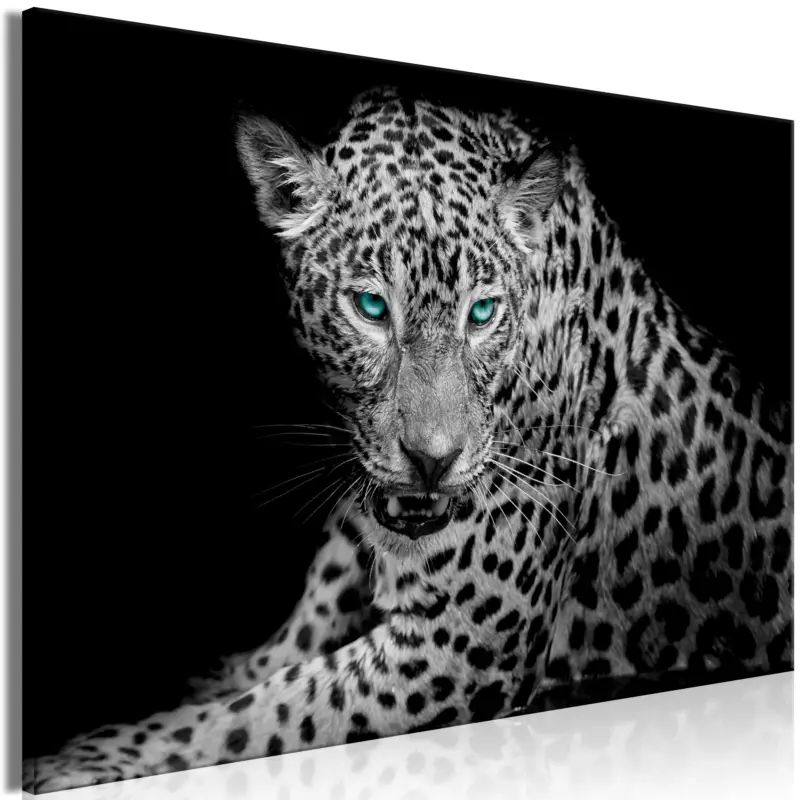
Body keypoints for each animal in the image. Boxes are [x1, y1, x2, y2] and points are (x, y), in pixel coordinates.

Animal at [23, 86, 793, 794]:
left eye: (482, 314)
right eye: (370, 307)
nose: (432, 460)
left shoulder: (460, 646)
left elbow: (258, 716)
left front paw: (91, 756)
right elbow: (281, 652)